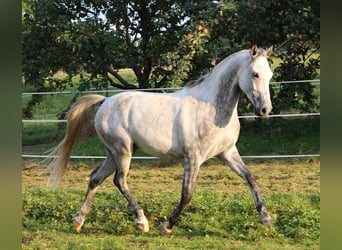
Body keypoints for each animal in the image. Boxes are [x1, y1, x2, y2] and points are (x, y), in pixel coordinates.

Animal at [46, 45, 276, 234]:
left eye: (270, 74)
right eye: (255, 74)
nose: (265, 110)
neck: (213, 109)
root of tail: (105, 101)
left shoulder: (227, 152)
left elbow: (250, 177)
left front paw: (266, 218)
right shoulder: (193, 158)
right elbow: (187, 194)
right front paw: (167, 226)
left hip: (113, 152)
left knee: (96, 178)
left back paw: (79, 220)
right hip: (123, 151)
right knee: (119, 181)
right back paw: (142, 222)